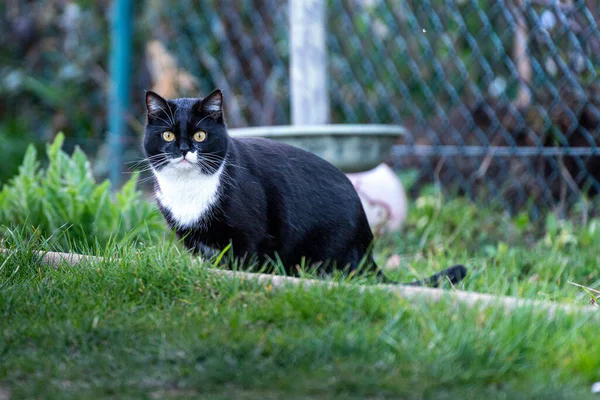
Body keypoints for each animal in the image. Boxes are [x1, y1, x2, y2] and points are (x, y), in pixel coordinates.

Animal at [143, 89, 466, 286]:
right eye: (168, 135)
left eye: (200, 135)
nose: (184, 150)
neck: (189, 191)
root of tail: (367, 246)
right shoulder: (193, 240)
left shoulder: (252, 237)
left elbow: (246, 263)